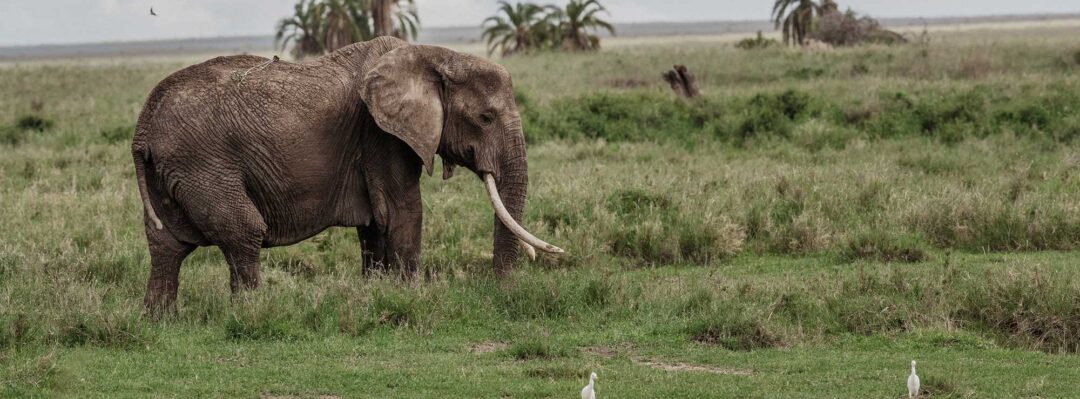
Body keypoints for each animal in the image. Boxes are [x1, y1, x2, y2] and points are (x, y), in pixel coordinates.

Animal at [130, 35, 561, 311]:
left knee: (166, 245)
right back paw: (249, 313)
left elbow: (375, 223)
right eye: (485, 118)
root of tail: (142, 126)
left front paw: (378, 294)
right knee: (243, 231)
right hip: (202, 163)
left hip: (171, 170)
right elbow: (402, 213)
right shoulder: (381, 133)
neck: (433, 55)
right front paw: (411, 298)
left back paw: (160, 322)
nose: (501, 290)